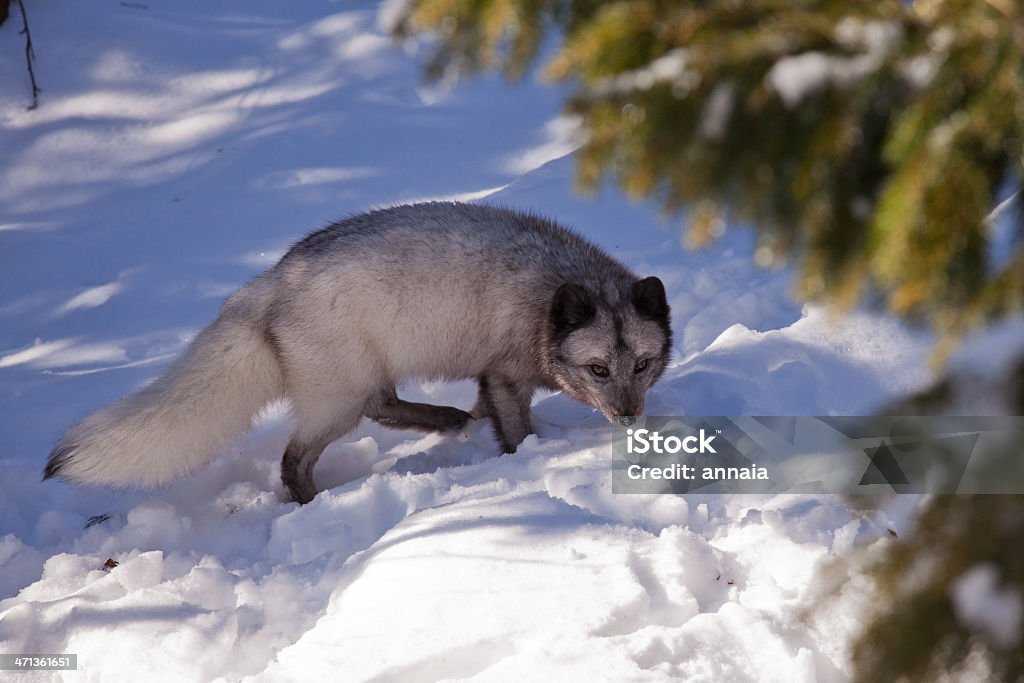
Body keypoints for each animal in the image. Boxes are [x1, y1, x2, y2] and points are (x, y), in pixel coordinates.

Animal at [46, 201, 671, 501]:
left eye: (642, 365)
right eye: (597, 368)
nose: (628, 418)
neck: (545, 303)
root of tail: (270, 283)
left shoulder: (492, 377)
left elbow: (489, 412)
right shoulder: (505, 375)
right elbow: (516, 431)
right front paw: (530, 457)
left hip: (357, 382)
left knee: (384, 406)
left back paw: (447, 420)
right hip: (336, 398)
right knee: (296, 457)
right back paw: (311, 502)